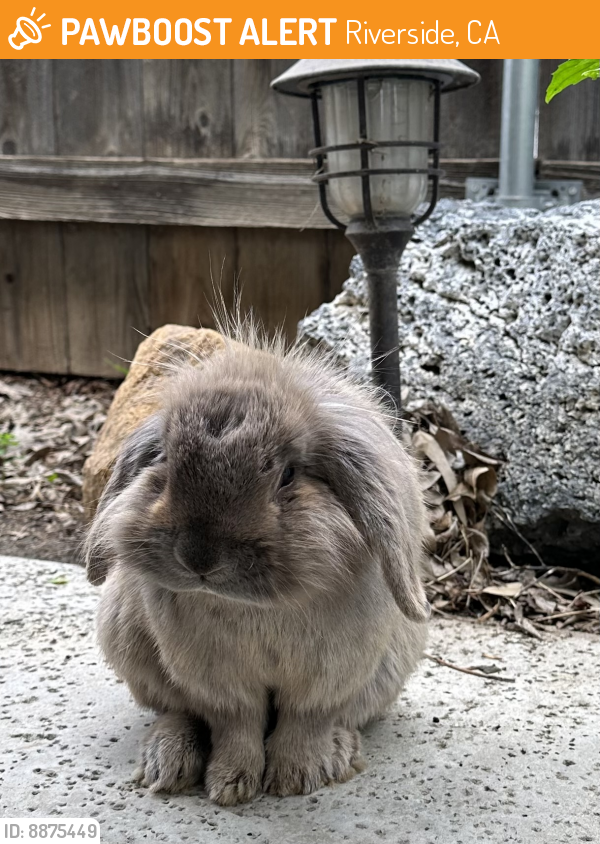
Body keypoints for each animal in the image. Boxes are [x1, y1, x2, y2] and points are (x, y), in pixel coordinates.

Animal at [84, 327, 430, 806]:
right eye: (166, 463)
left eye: (287, 476)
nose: (198, 558)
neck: (254, 607)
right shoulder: (218, 682)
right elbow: (236, 725)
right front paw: (230, 785)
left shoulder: (326, 677)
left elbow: (306, 720)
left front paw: (295, 778)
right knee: (178, 710)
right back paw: (168, 762)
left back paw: (339, 751)